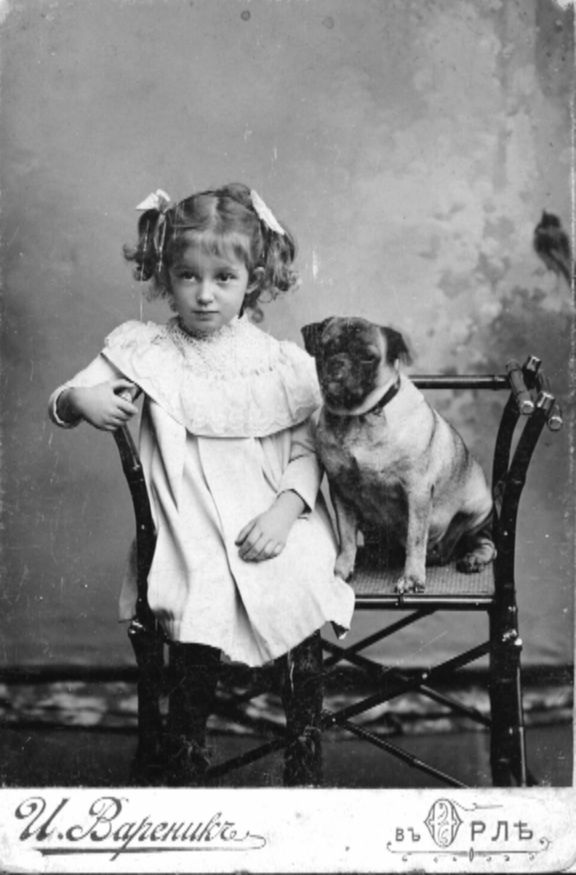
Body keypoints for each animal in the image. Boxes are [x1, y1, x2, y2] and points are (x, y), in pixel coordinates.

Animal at [302, 317, 496, 593]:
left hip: (477, 512)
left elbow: (415, 539)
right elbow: (347, 536)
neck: (358, 417)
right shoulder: (341, 491)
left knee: (485, 542)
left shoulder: (417, 492)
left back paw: (473, 558)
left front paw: (412, 578)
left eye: (368, 357)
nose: (339, 362)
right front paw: (342, 568)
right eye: (325, 348)